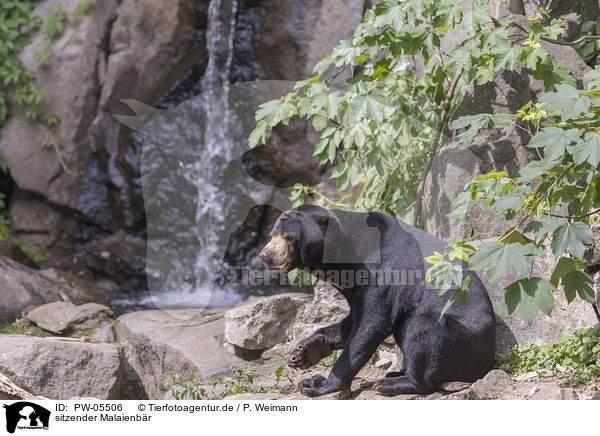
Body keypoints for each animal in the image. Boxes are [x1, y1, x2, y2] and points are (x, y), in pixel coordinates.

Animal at [258, 206, 496, 396]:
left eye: (289, 237)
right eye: (271, 235)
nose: (264, 255)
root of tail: (488, 360)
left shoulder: (384, 271)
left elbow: (370, 324)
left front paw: (316, 385)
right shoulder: (353, 288)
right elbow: (353, 319)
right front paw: (304, 351)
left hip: (463, 342)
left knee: (424, 328)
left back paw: (392, 383)